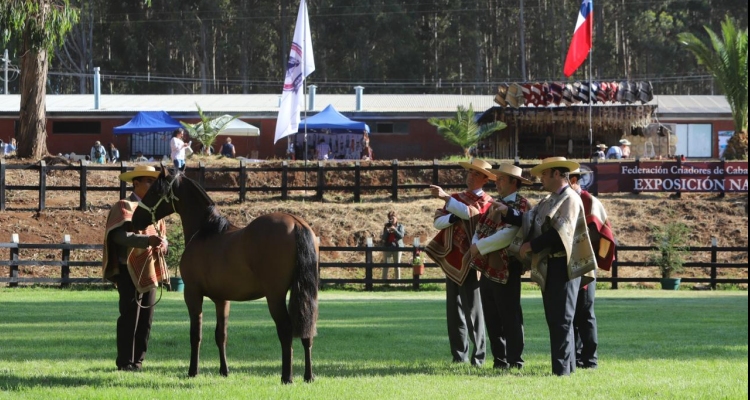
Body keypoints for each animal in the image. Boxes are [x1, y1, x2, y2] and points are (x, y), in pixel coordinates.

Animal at [132, 169, 320, 384]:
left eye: (155, 190)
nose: (135, 220)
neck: (206, 231)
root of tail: (296, 223)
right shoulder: (222, 299)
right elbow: (221, 335)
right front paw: (224, 370)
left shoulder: (192, 294)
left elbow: (196, 334)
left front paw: (193, 371)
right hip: (305, 293)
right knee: (307, 329)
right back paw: (308, 375)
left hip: (275, 296)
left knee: (286, 329)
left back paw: (287, 376)